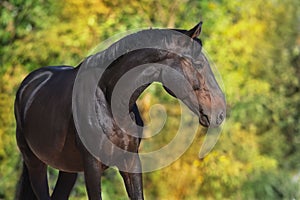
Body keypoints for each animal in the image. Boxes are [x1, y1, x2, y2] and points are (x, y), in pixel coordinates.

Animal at [13, 21, 225, 199]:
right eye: (199, 64)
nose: (220, 113)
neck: (109, 101)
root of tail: (29, 85)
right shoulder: (92, 166)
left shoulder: (130, 163)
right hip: (36, 164)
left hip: (67, 169)